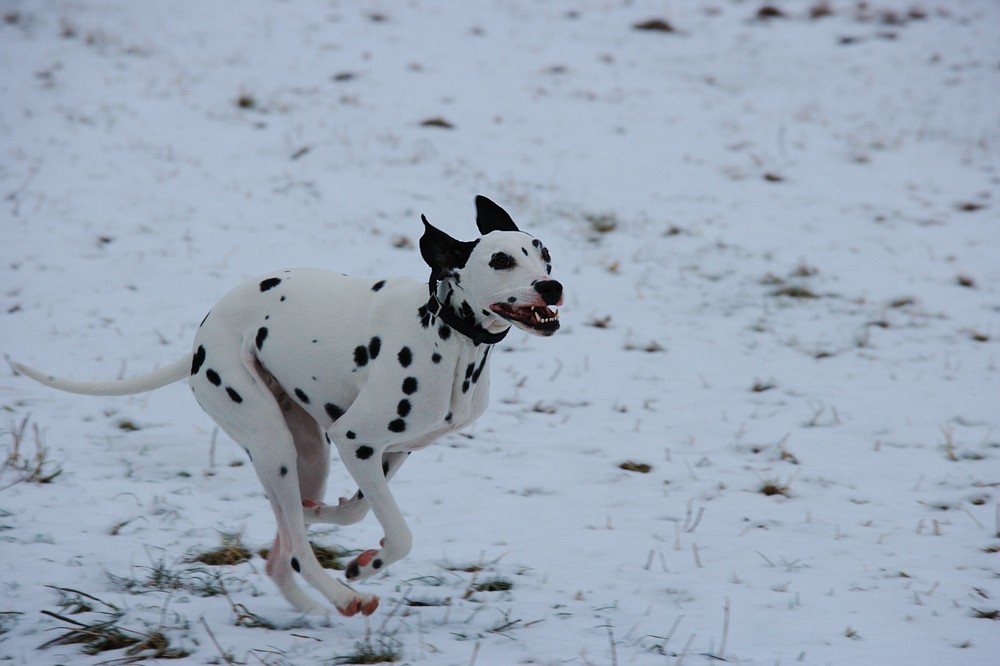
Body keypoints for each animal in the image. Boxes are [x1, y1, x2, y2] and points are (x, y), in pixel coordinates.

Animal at [13, 196, 564, 616]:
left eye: (545, 256)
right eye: (500, 261)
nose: (551, 286)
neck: (447, 333)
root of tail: (200, 341)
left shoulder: (391, 449)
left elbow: (357, 510)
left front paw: (353, 545)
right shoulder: (356, 440)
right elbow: (399, 532)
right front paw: (365, 560)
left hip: (308, 454)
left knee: (282, 549)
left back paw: (314, 589)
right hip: (271, 442)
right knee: (296, 551)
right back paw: (342, 598)